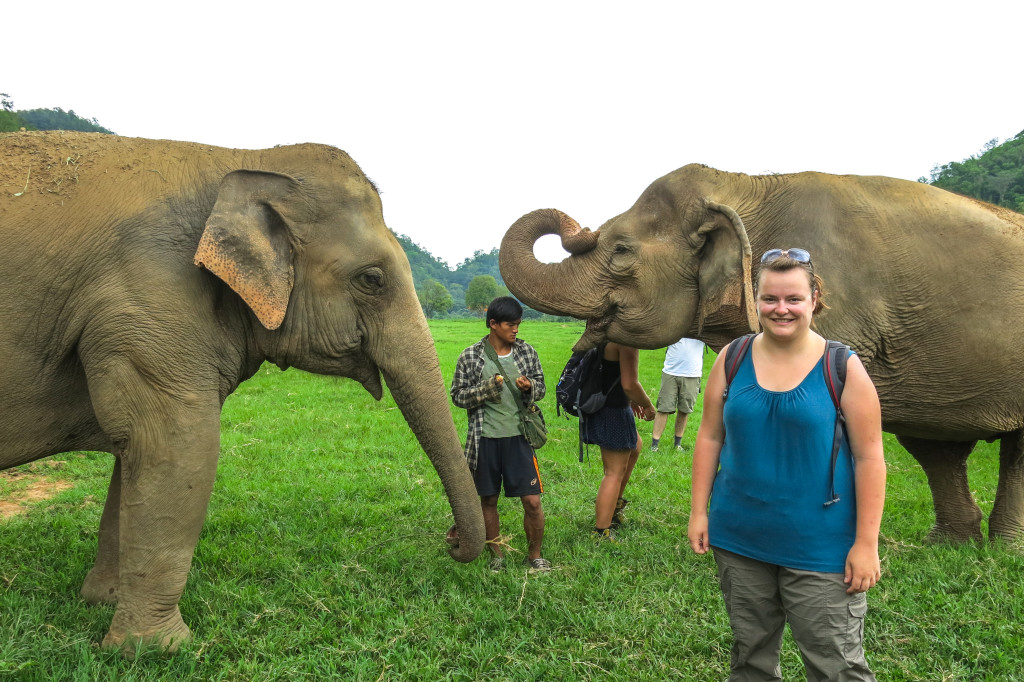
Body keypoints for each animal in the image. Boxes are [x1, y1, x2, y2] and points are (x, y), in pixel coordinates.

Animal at [0, 131, 483, 655]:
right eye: (372, 279)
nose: (452, 540)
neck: (245, 160)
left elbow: (133, 453)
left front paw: (102, 602)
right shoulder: (148, 297)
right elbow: (175, 444)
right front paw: (160, 650)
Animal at [499, 161, 1024, 544]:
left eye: (622, 250)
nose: (579, 227)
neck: (742, 185)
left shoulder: (837, 314)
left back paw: (1000, 549)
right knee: (936, 445)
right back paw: (952, 544)